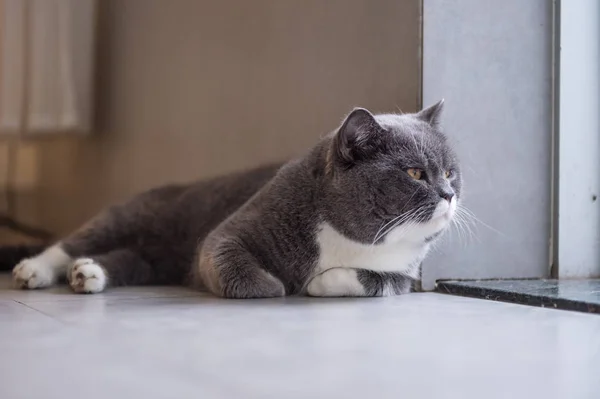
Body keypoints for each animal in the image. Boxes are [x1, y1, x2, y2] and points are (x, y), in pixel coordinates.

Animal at [4, 101, 462, 298]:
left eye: (450, 171)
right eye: (415, 173)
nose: (450, 194)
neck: (351, 239)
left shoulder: (405, 274)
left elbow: (377, 281)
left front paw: (320, 282)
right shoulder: (232, 232)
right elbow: (229, 259)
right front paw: (276, 285)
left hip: (153, 260)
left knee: (128, 261)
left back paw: (88, 274)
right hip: (133, 216)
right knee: (73, 243)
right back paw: (35, 271)